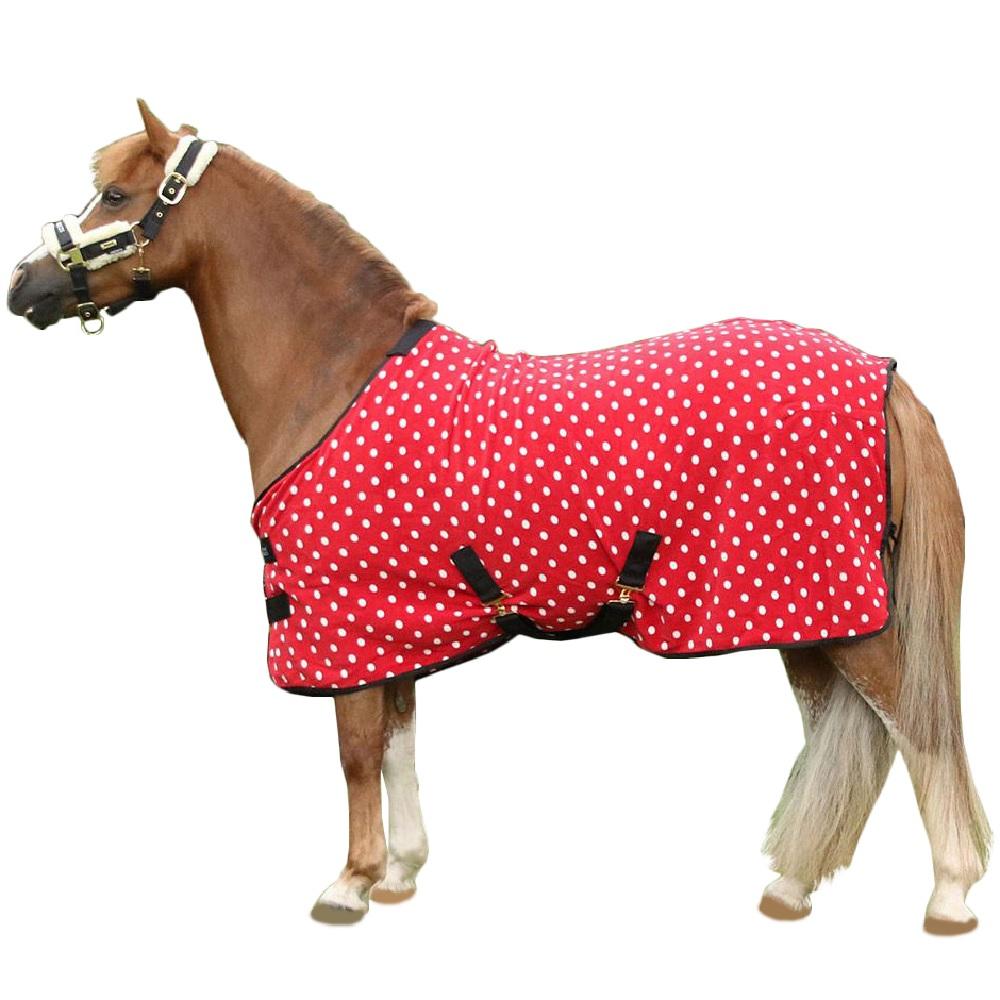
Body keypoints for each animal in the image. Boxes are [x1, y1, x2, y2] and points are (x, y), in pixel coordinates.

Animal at [7, 100, 990, 934]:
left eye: (117, 196)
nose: (24, 288)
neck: (332, 375)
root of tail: (885, 374)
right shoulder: (391, 624)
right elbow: (397, 743)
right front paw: (399, 875)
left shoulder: (340, 626)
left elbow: (355, 753)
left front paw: (347, 885)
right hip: (796, 619)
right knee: (840, 736)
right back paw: (788, 887)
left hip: (849, 619)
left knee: (920, 730)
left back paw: (949, 898)